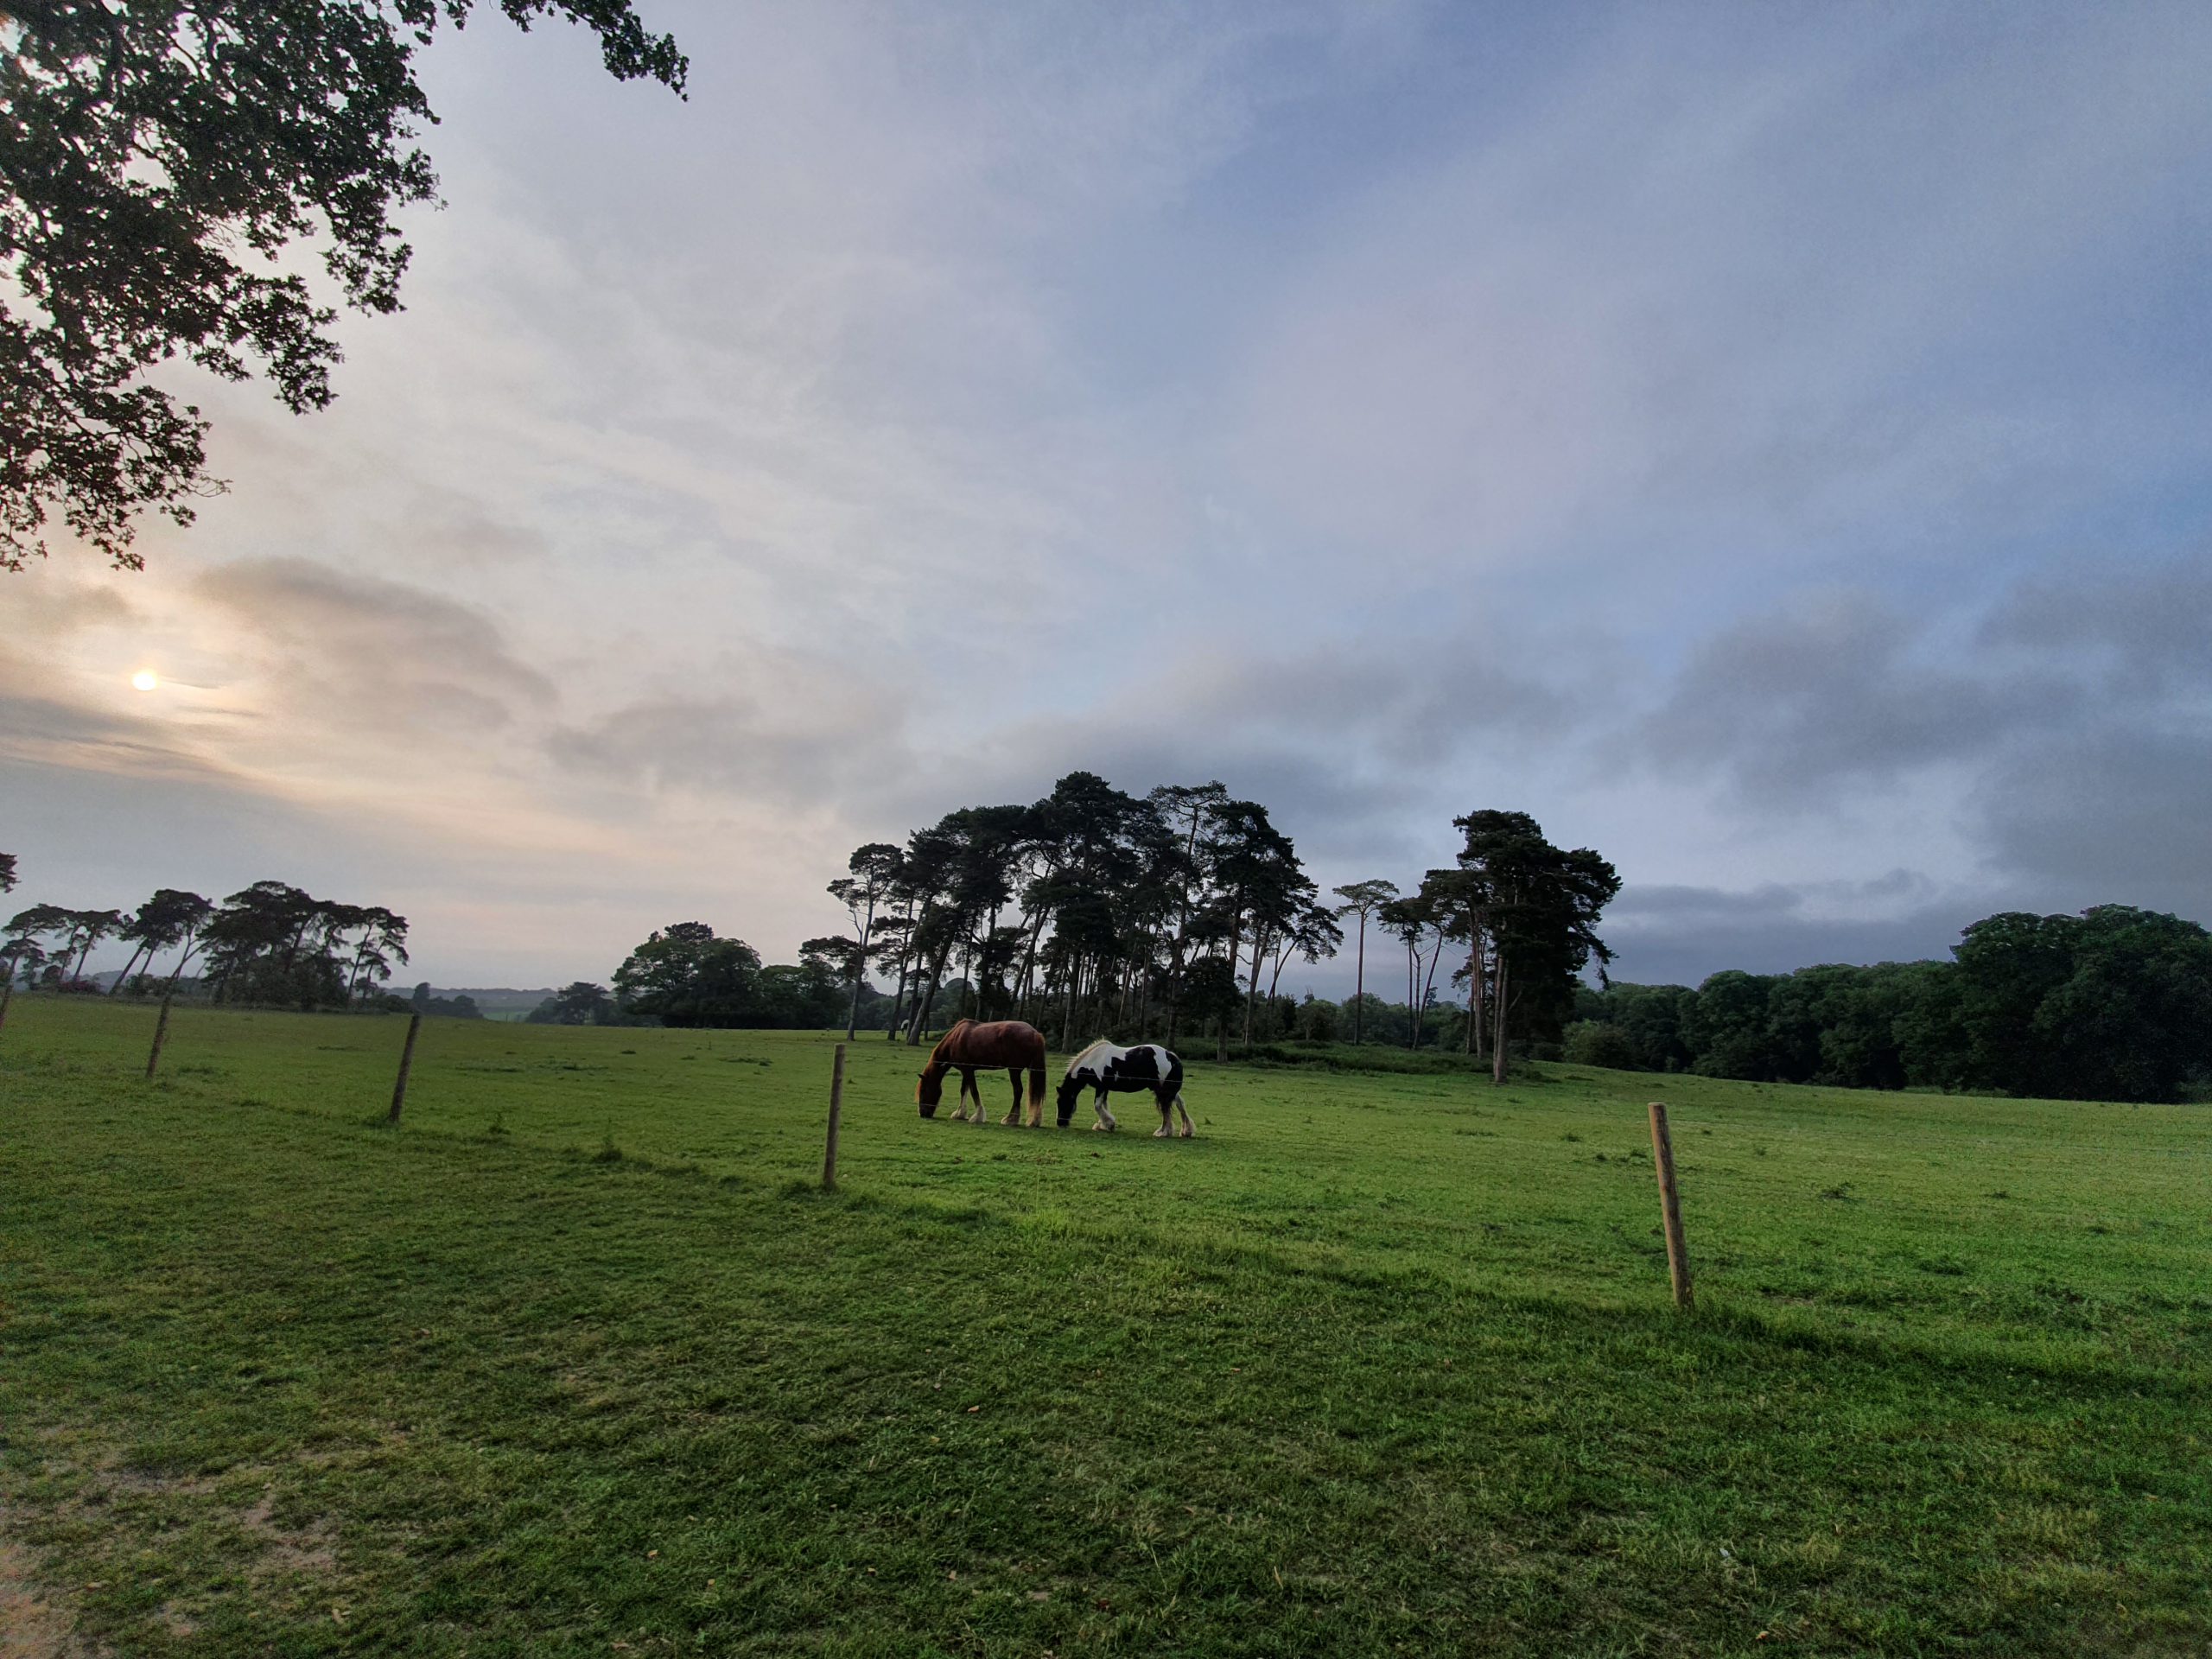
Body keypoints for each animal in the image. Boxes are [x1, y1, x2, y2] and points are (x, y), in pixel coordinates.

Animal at [917, 1018, 1048, 1126]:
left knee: (1018, 1091)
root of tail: (1035, 1034)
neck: (955, 1039)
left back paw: (1010, 1119)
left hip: (1014, 1071)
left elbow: (974, 1091)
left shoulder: (968, 1071)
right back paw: (1033, 1121)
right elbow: (963, 1090)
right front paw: (960, 1113)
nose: (923, 1114)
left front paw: (977, 1117)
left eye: (923, 1090)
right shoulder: (966, 1071)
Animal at [1058, 1039, 1192, 1137]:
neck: (1093, 1062)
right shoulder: (1105, 1089)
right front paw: (1103, 1125)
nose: (1060, 1123)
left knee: (1166, 1111)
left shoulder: (1101, 1087)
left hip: (1162, 1092)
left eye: (1061, 1102)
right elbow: (1104, 1106)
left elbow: (1098, 1106)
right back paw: (1186, 1131)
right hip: (1170, 1092)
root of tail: (1172, 1057)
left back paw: (1163, 1132)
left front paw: (1109, 1124)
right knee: (1180, 1105)